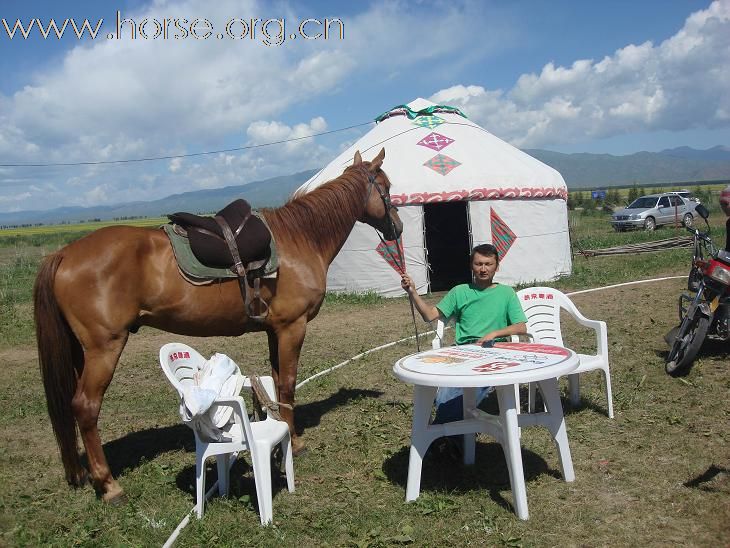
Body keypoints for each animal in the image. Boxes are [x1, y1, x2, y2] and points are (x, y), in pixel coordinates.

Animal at [34, 148, 400, 504]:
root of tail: (63, 254)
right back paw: (110, 487)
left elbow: (277, 382)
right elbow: (288, 385)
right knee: (86, 407)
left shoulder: (274, 330)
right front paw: (295, 444)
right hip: (104, 348)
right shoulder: (292, 328)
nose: (396, 227)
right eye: (387, 186)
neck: (300, 239)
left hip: (81, 352)